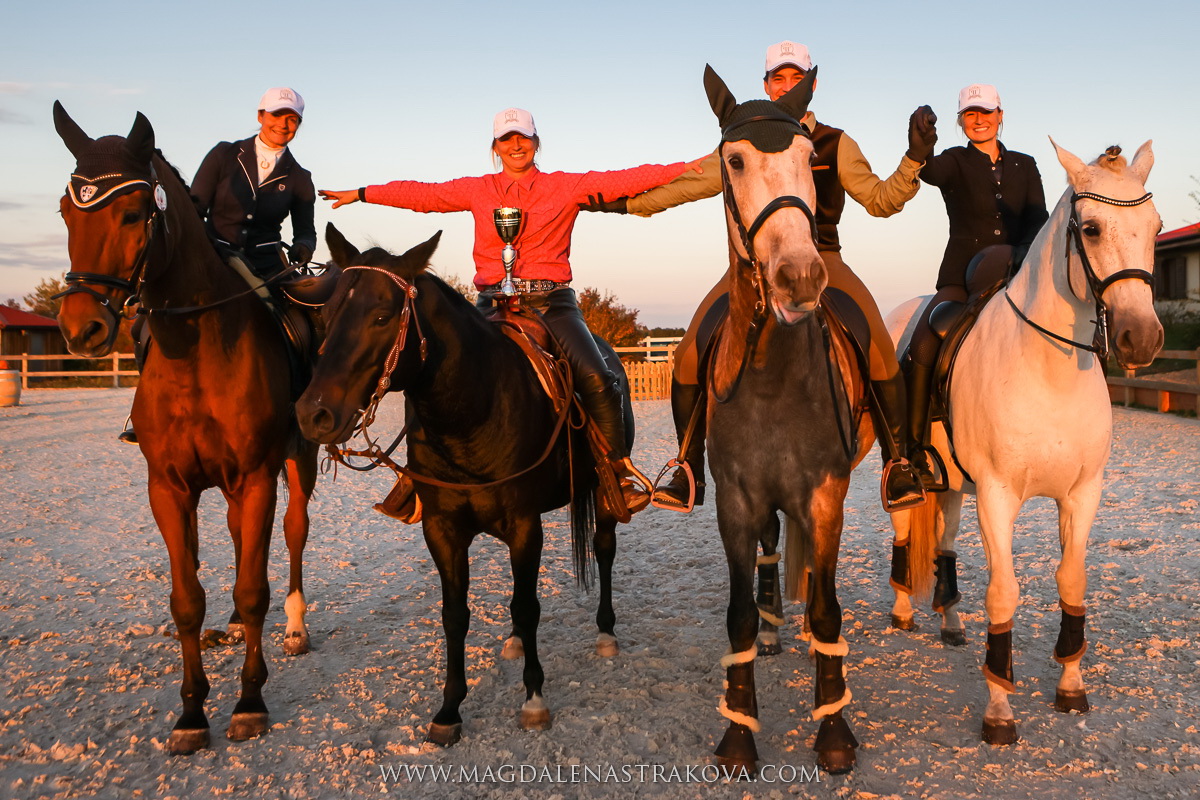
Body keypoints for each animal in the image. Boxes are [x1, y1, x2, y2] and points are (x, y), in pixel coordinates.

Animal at [52, 106, 316, 758]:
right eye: (67, 210)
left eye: (131, 213)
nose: (81, 329)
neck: (196, 348)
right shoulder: (168, 488)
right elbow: (186, 599)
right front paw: (192, 712)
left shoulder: (257, 476)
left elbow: (253, 588)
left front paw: (249, 704)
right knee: (240, 539)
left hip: (296, 460)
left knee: (294, 532)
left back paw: (295, 627)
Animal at [296, 224, 628, 743]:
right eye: (328, 315)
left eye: (382, 315)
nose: (314, 414)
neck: (475, 409)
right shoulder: (443, 529)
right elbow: (456, 614)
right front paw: (449, 709)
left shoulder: (524, 525)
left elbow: (528, 605)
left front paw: (534, 699)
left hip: (602, 494)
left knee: (603, 548)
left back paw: (607, 632)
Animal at [700, 68, 878, 777]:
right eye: (734, 161)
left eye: (810, 158)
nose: (799, 276)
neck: (774, 376)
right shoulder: (735, 501)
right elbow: (739, 616)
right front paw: (738, 734)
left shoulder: (825, 497)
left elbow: (829, 610)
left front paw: (833, 729)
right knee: (773, 551)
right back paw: (778, 627)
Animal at [888, 139, 1156, 743]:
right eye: (1092, 229)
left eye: (1155, 226)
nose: (1142, 338)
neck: (1048, 372)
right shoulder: (998, 496)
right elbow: (1003, 592)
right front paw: (999, 709)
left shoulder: (1082, 494)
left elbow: (1073, 581)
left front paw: (1071, 687)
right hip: (899, 471)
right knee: (904, 531)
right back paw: (902, 611)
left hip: (952, 483)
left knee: (944, 542)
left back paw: (951, 619)